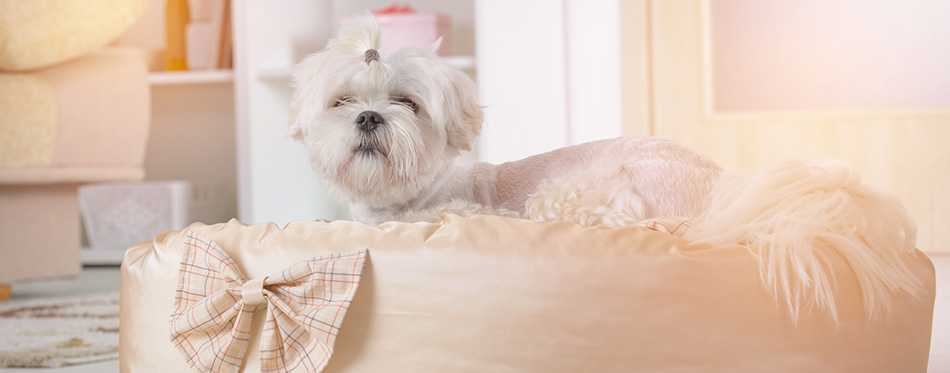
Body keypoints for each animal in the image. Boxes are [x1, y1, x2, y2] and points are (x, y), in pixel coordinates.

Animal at [292, 15, 924, 322]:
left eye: (408, 103)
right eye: (343, 102)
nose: (370, 117)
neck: (403, 197)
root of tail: (728, 187)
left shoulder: (463, 208)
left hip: (579, 192)